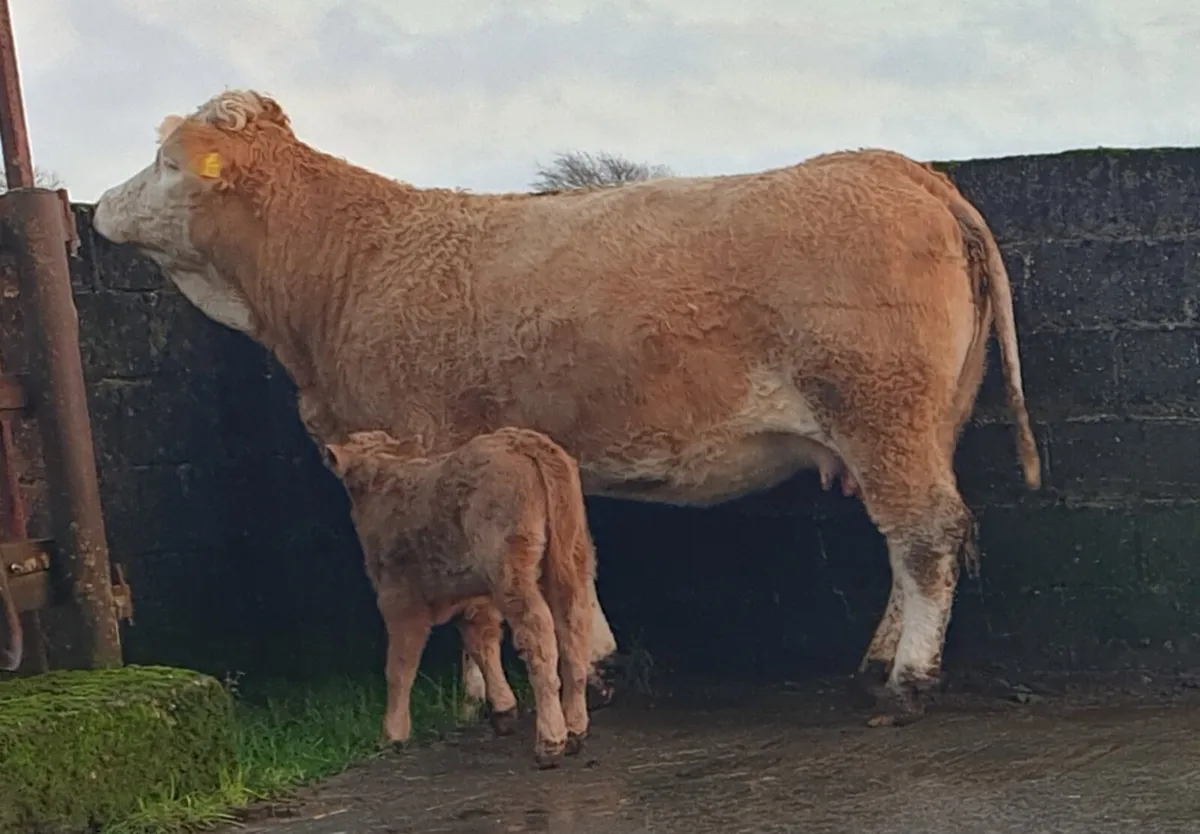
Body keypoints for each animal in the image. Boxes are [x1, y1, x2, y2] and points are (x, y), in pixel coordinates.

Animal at [91, 88, 1041, 726]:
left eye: (167, 163)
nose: (100, 209)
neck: (347, 266)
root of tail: (896, 168)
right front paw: (589, 663)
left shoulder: (425, 445)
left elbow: (469, 588)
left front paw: (486, 703)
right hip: (923, 421)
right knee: (911, 540)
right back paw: (881, 661)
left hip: (881, 410)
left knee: (925, 534)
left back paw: (909, 684)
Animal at [321, 427, 596, 769]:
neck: (383, 479)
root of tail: (524, 441)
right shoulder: (474, 598)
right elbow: (483, 643)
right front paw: (503, 710)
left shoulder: (399, 598)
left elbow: (400, 665)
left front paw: (393, 733)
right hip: (571, 558)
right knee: (574, 627)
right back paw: (575, 730)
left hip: (511, 571)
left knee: (538, 635)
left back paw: (550, 742)